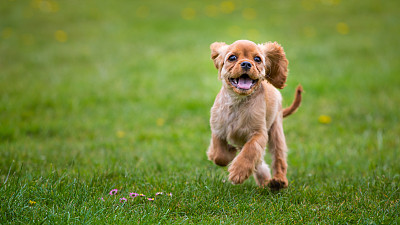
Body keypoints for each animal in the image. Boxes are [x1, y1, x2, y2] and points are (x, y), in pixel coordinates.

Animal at [206, 39, 304, 189]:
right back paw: (265, 181)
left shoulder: (259, 133)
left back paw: (278, 181)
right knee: (260, 163)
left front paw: (238, 172)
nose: (246, 63)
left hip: (276, 130)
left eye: (257, 59)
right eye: (232, 57)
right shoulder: (218, 128)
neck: (238, 102)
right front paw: (229, 153)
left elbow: (250, 150)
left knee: (278, 158)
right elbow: (218, 154)